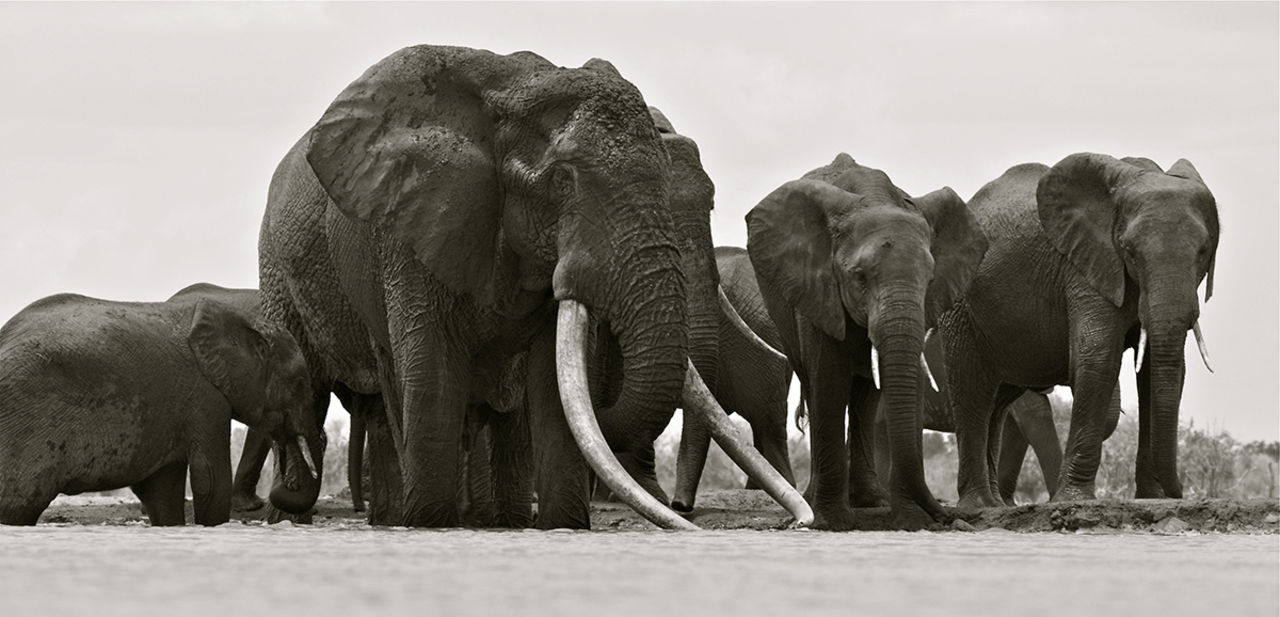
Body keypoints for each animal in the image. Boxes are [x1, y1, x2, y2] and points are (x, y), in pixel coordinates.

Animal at [0, 290, 322, 526]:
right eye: (299, 383)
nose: (288, 485)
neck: (244, 322)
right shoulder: (205, 398)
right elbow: (210, 480)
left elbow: (162, 488)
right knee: (17, 503)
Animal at [257, 44, 807, 529]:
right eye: (563, 180)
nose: (681, 509)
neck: (516, 86)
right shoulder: (413, 229)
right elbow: (433, 377)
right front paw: (430, 525)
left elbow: (553, 386)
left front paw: (562, 526)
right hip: (279, 270)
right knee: (328, 390)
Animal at [748, 154, 989, 530]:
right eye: (859, 277)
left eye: (930, 280)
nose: (948, 515)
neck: (874, 199)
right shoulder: (819, 289)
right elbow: (829, 381)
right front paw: (833, 522)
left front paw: (909, 520)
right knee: (815, 385)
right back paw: (817, 501)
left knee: (865, 397)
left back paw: (871, 501)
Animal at [938, 153, 1218, 507]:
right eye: (1129, 250)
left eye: (1203, 250)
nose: (1179, 493)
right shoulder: (1084, 266)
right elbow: (1097, 357)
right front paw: (1074, 500)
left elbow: (1159, 370)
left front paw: (1151, 499)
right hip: (960, 302)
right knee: (971, 389)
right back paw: (979, 505)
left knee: (997, 401)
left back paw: (996, 504)